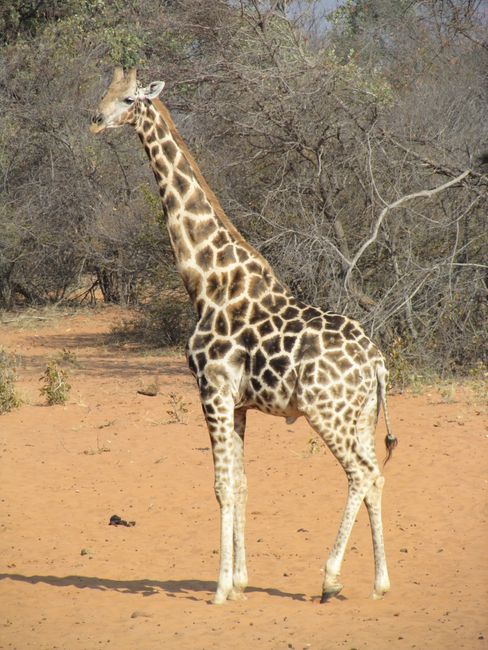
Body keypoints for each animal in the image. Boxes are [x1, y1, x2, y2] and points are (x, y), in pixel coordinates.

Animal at [90, 66, 396, 604]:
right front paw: (239, 582)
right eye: (105, 92)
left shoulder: (210, 390)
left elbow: (221, 485)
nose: (95, 119)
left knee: (359, 472)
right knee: (375, 473)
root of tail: (375, 361)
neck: (205, 281)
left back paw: (330, 579)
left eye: (128, 99)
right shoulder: (238, 402)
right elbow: (243, 482)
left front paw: (218, 589)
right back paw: (379, 582)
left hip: (327, 412)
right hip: (360, 414)